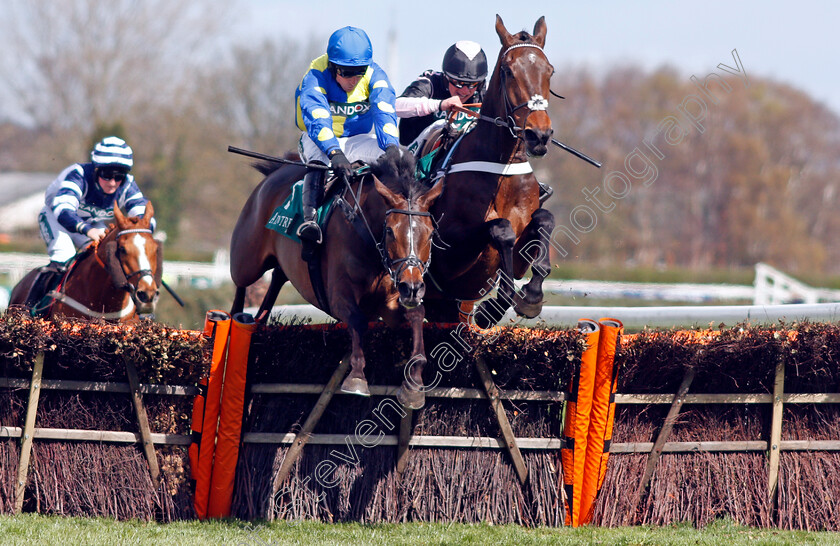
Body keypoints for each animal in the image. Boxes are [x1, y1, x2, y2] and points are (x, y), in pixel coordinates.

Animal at [226, 147, 442, 406]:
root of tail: (277, 171)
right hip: (247, 260)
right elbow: (357, 319)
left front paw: (414, 384)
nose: (412, 287)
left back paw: (260, 320)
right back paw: (237, 319)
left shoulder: (389, 302)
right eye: (390, 231)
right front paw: (357, 378)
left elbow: (417, 315)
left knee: (277, 277)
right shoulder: (338, 295)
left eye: (430, 233)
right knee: (240, 285)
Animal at [426, 13, 556, 328]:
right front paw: (494, 308)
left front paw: (531, 296)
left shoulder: (521, 254)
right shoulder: (447, 257)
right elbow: (500, 229)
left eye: (550, 71)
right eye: (509, 71)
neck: (502, 167)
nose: (539, 135)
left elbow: (545, 219)